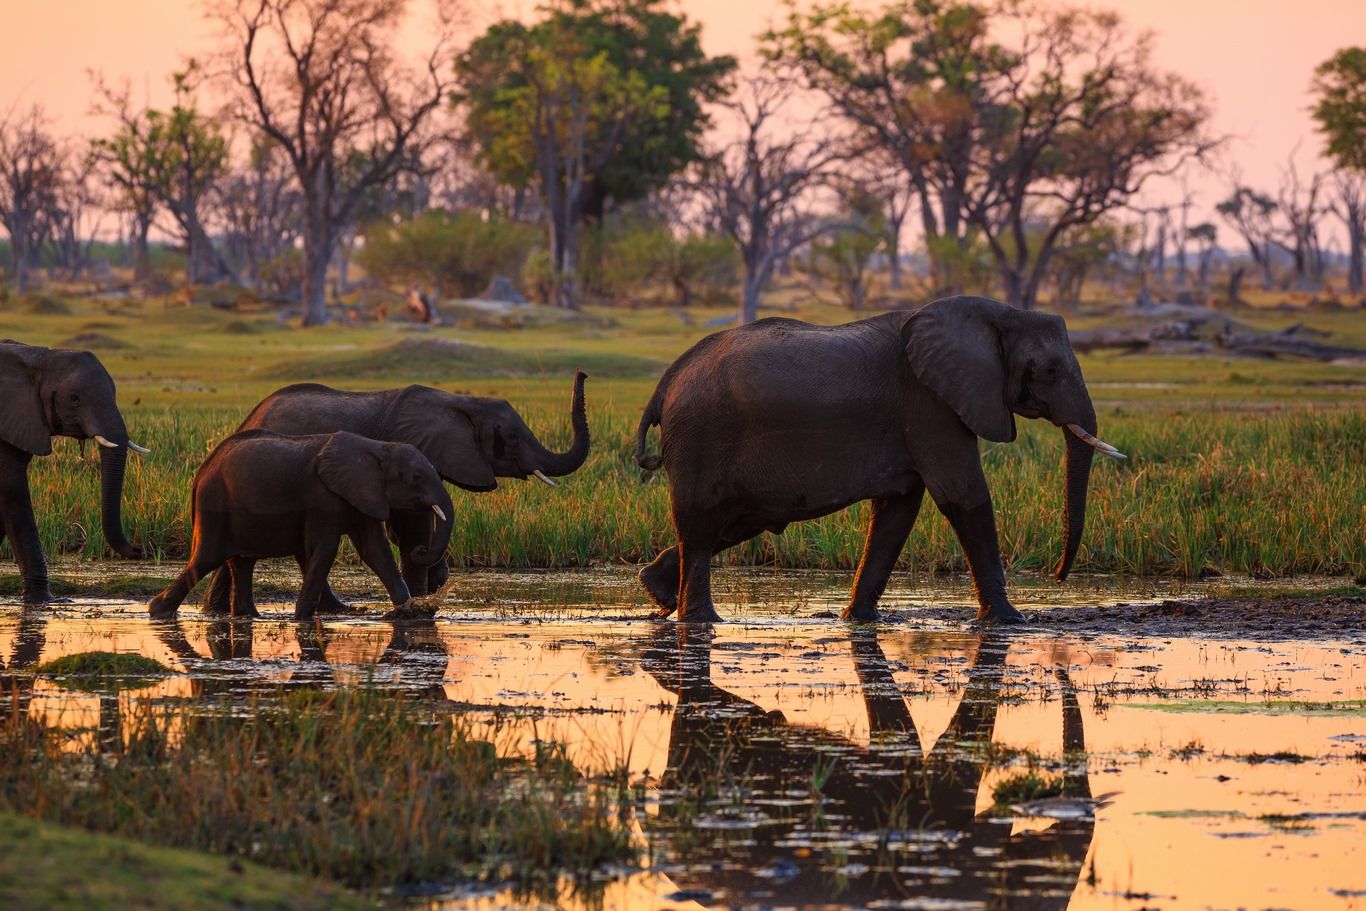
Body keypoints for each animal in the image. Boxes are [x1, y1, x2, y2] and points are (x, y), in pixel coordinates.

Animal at [148, 431, 453, 622]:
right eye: (416, 477)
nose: (420, 550)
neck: (377, 448)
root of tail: (201, 471)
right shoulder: (322, 497)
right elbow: (326, 549)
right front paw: (302, 618)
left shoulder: (364, 495)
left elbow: (375, 552)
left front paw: (410, 612)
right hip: (214, 504)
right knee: (206, 558)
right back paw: (158, 611)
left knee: (241, 562)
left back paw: (249, 616)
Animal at [200, 371, 587, 611]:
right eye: (512, 436)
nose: (583, 373)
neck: (460, 402)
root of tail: (250, 416)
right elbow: (414, 526)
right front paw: (420, 595)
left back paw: (215, 611)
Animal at [633, 296, 1125, 622]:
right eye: (1050, 371)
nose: (1058, 577)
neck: (1000, 313)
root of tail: (663, 384)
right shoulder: (930, 403)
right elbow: (962, 496)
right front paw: (1009, 622)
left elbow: (897, 510)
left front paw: (858, 621)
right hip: (700, 436)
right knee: (701, 526)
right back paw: (701, 622)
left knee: (731, 522)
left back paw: (658, 592)